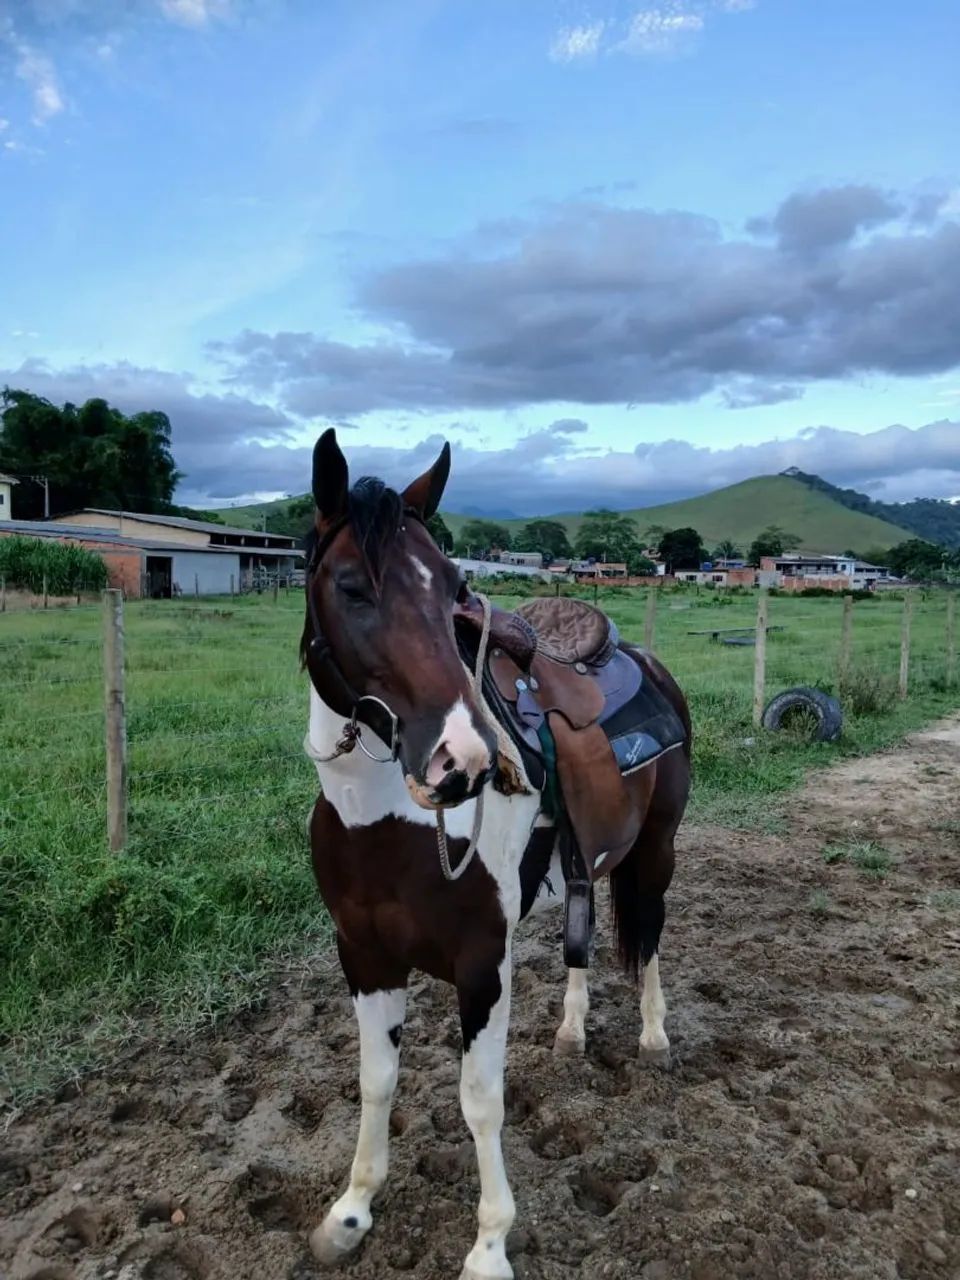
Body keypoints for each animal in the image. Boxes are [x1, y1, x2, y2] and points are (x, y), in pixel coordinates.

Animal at [301, 429, 691, 1280]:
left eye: (454, 586)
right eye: (351, 587)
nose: (466, 761)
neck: (383, 824)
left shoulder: (483, 960)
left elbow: (480, 1100)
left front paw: (488, 1246)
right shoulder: (363, 955)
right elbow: (376, 1081)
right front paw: (351, 1211)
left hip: (656, 851)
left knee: (648, 934)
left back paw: (654, 1037)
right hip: (586, 857)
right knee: (585, 923)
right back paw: (573, 1032)